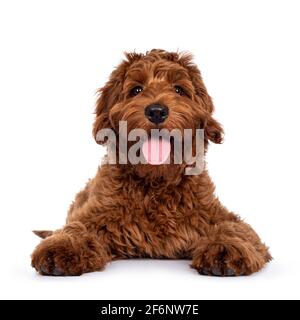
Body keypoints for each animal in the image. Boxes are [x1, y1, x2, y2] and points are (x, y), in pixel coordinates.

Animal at [31, 48, 272, 276]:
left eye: (179, 89)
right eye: (136, 90)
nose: (156, 111)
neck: (155, 183)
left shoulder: (215, 214)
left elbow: (235, 229)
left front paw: (225, 249)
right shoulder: (95, 214)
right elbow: (76, 227)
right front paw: (62, 248)